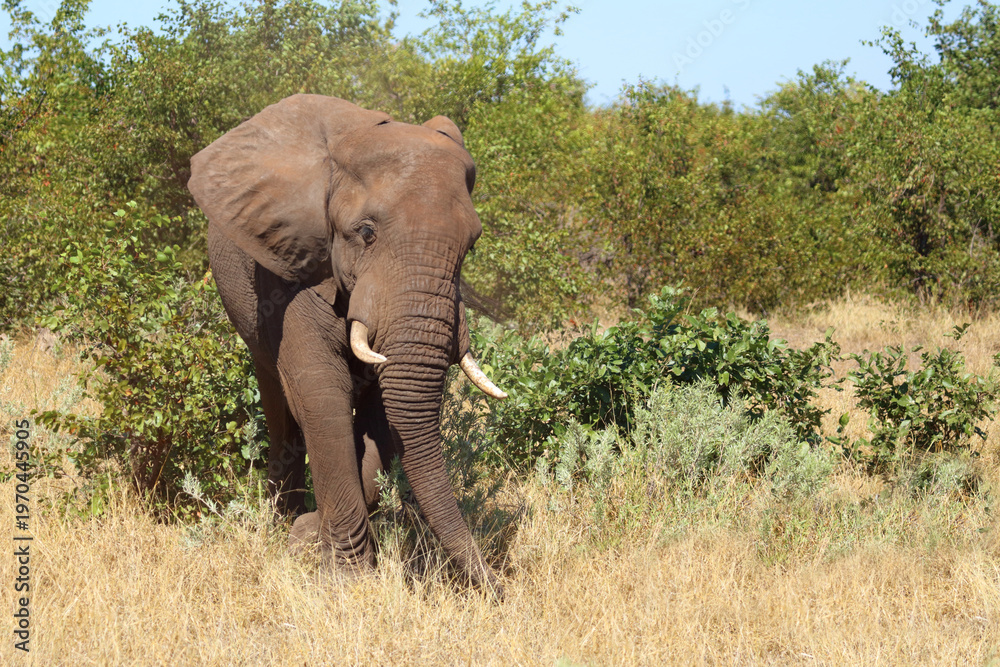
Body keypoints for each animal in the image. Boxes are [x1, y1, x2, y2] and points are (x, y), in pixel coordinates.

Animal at [187, 94, 507, 591]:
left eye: (470, 245)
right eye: (366, 232)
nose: (499, 586)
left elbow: (383, 416)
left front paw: (315, 538)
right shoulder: (294, 265)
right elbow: (321, 391)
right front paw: (342, 575)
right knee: (280, 407)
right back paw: (283, 520)